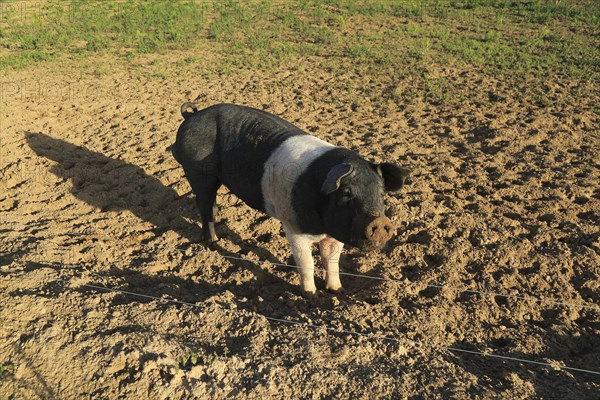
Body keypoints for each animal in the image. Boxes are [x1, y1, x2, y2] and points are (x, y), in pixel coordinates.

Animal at [171, 102, 410, 296]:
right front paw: (310, 296)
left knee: (211, 205)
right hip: (197, 171)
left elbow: (332, 261)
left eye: (381, 193)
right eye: (347, 193)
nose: (379, 221)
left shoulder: (336, 233)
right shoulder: (293, 226)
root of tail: (192, 115)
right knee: (205, 206)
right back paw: (212, 242)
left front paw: (337, 291)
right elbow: (306, 262)